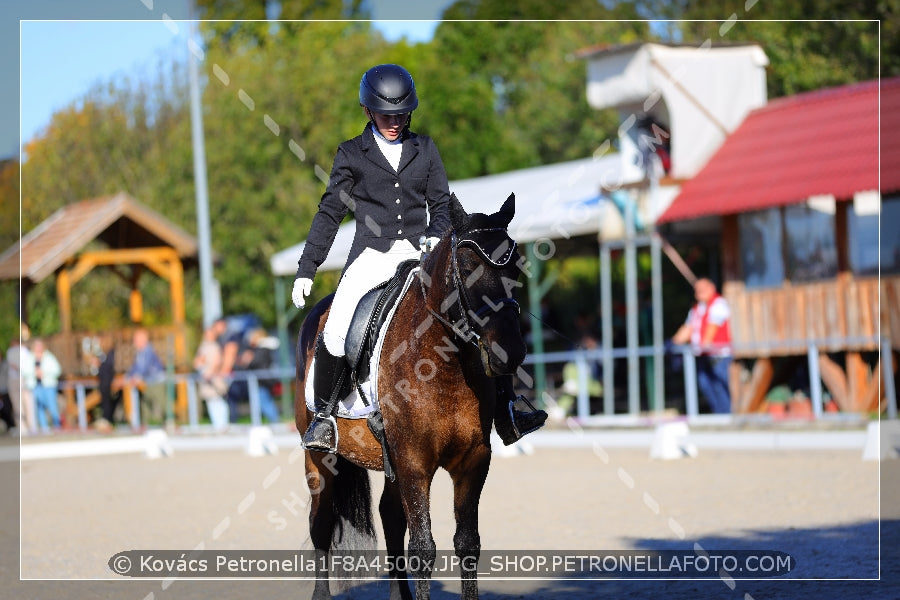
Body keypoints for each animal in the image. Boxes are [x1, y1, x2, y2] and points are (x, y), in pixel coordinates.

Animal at [294, 193, 528, 600]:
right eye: (467, 266)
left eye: (515, 266)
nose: (509, 352)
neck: (444, 367)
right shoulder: (414, 463)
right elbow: (423, 547)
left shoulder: (473, 461)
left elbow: (468, 543)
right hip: (319, 458)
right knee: (321, 523)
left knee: (390, 517)